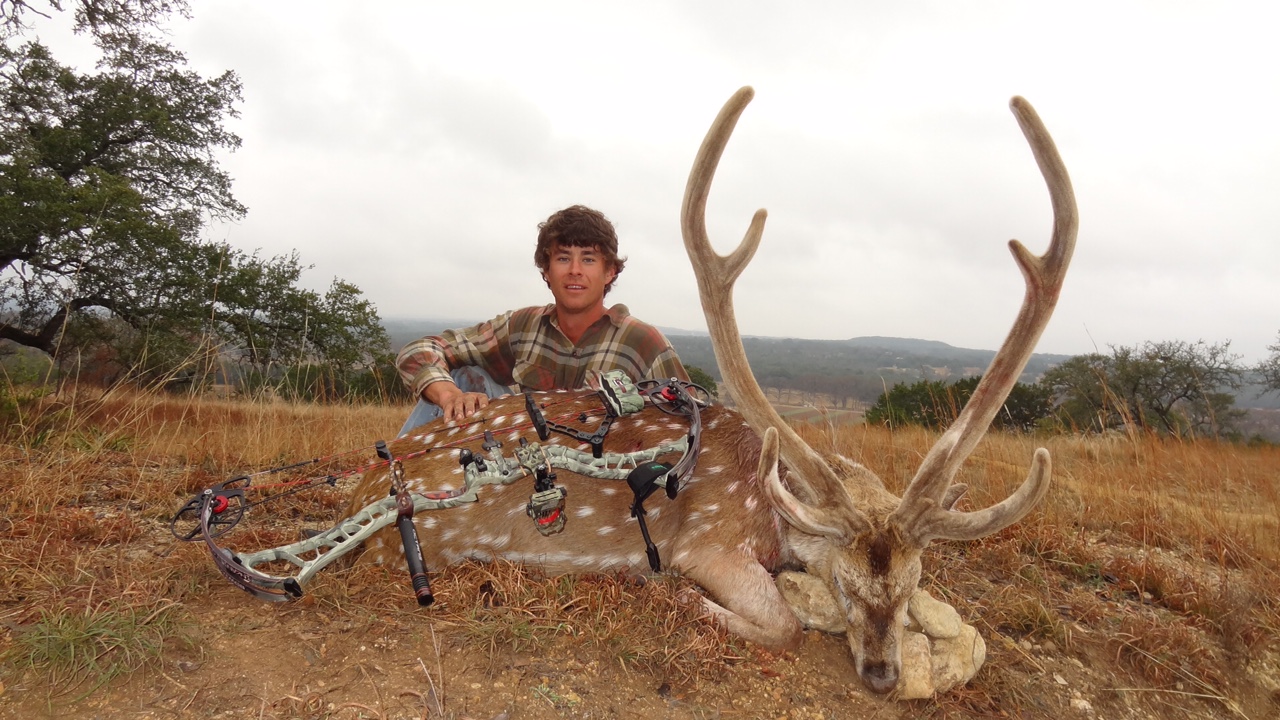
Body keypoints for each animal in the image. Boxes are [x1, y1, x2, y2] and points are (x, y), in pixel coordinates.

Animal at [348, 86, 1077, 696]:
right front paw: (679, 597)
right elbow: (783, 626)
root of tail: (359, 500)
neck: (773, 505)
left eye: (913, 578)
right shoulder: (709, 542)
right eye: (844, 583)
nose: (880, 677)